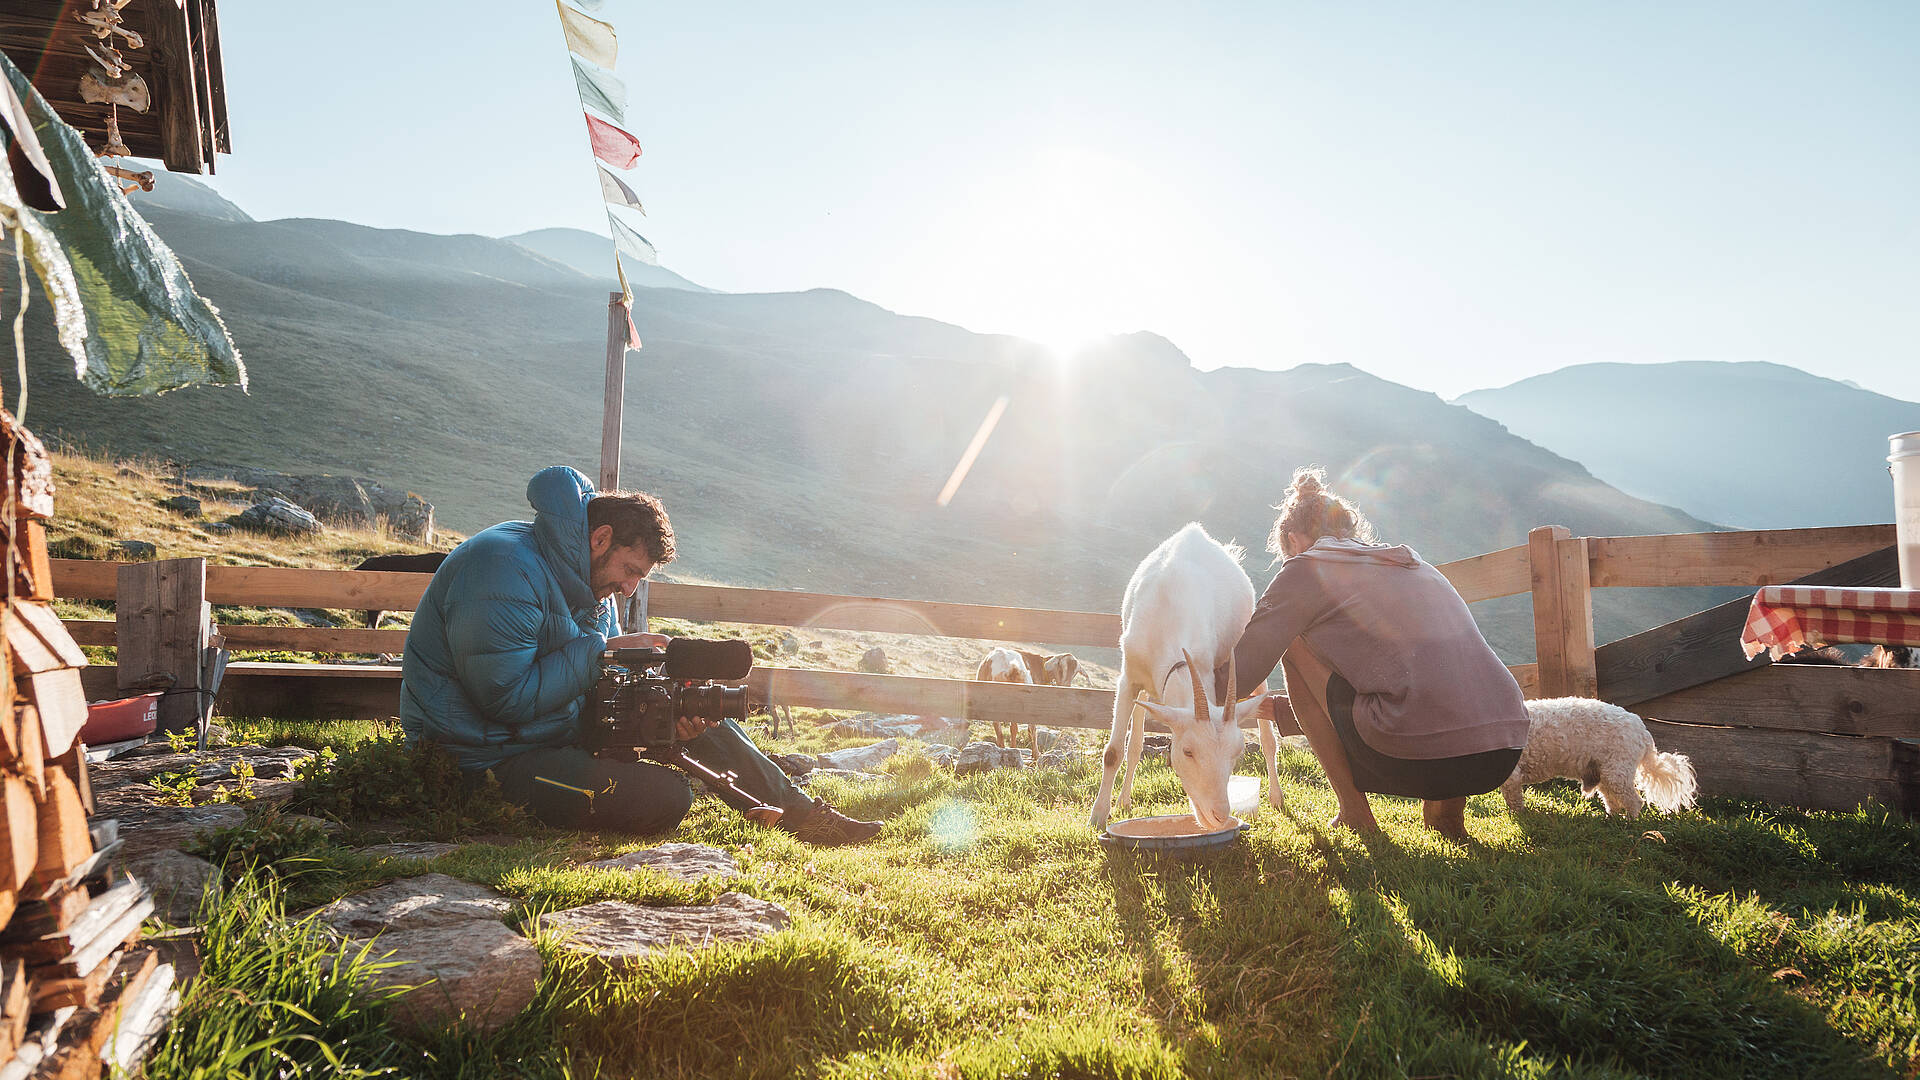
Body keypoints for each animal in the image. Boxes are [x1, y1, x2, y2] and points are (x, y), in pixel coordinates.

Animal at [1098, 518, 1274, 826]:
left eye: (1237, 752)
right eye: (1187, 751)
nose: (1220, 816)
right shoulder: (1129, 678)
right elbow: (1114, 752)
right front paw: (1097, 817)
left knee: (1268, 739)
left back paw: (1277, 796)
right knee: (1134, 745)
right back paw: (1123, 801)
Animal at [1497, 691, 1697, 810]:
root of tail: (1642, 730)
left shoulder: (1511, 776)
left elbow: (1515, 804)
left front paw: (1519, 818)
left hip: (1617, 773)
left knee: (1634, 802)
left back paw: (1630, 826)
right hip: (1604, 773)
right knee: (1613, 802)